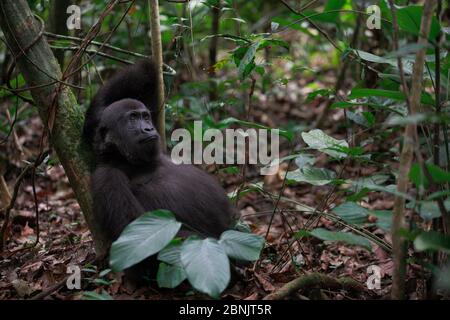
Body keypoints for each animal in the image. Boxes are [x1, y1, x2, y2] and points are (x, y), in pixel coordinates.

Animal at [82, 60, 236, 280]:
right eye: (132, 119)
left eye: (145, 117)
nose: (148, 128)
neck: (125, 159)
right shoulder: (106, 178)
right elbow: (137, 233)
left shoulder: (98, 126)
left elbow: (98, 112)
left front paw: (154, 65)